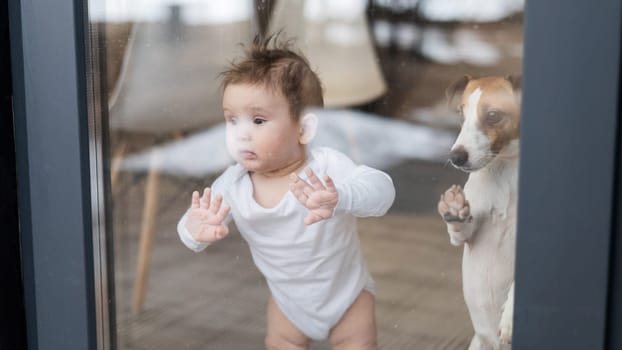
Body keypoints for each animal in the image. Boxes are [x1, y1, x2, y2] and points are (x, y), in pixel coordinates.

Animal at [438, 75, 520, 348]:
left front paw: (509, 319)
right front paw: (454, 207)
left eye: (493, 115)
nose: (455, 157)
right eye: (460, 114)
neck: (507, 168)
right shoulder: (468, 235)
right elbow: (460, 228)